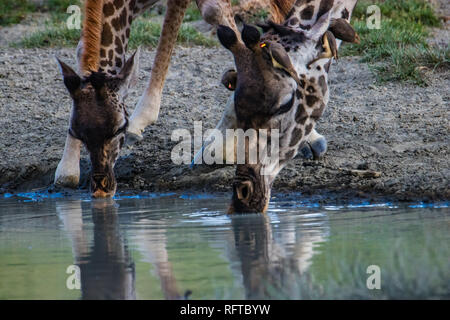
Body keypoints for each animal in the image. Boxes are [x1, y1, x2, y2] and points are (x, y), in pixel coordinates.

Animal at [53, 0, 292, 196]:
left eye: (118, 128)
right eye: (75, 132)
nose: (101, 188)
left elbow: (213, 15)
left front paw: (222, 147)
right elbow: (81, 48)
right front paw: (67, 169)